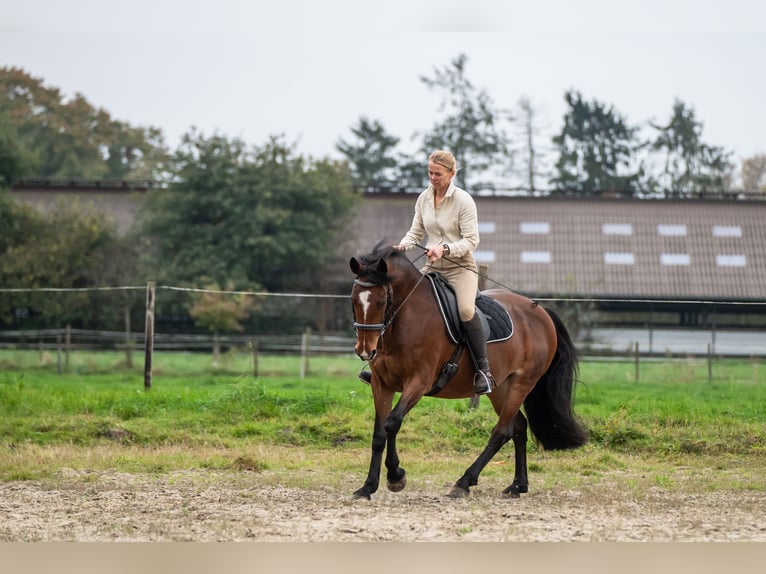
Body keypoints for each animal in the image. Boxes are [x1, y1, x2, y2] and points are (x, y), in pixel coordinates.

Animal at [352, 243, 592, 500]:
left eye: (381, 302)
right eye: (354, 300)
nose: (365, 350)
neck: (404, 321)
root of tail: (539, 310)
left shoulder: (418, 383)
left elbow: (392, 423)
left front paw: (396, 476)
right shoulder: (381, 383)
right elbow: (379, 434)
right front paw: (367, 487)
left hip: (522, 383)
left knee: (501, 432)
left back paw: (464, 482)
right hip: (501, 387)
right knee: (518, 426)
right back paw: (517, 485)